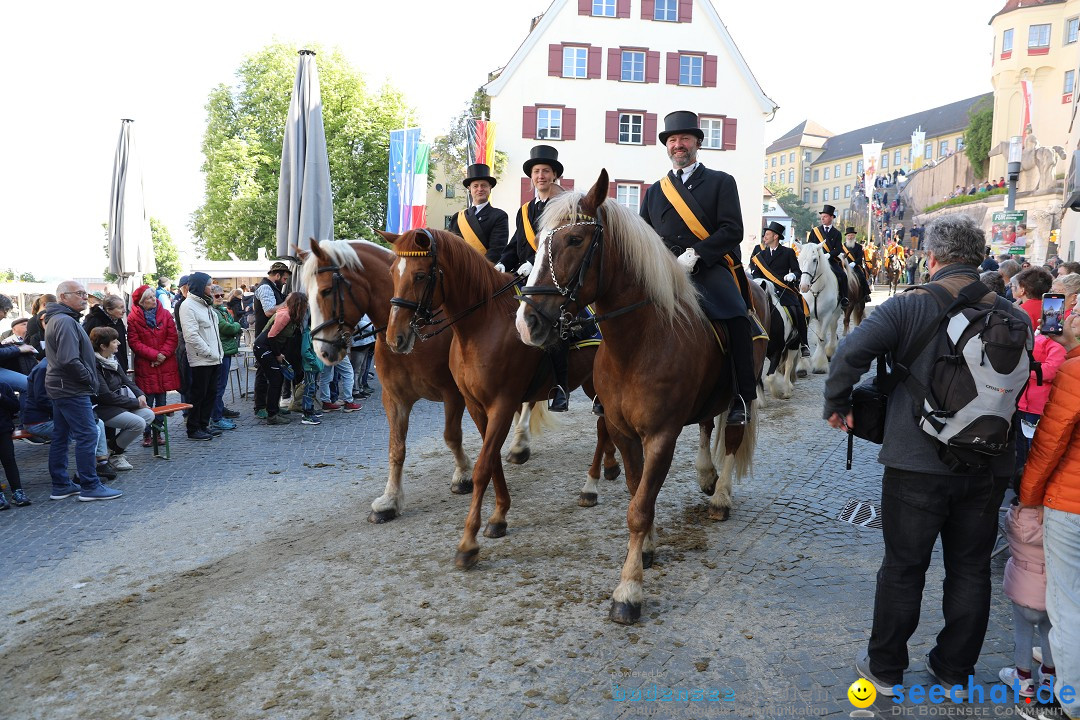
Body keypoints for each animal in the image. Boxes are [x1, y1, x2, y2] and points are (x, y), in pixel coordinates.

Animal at [384, 227, 617, 569]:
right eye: (391, 273)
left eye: (420, 275)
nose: (394, 338)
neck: (480, 328)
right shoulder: (475, 406)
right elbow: (491, 461)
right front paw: (499, 516)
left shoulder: (503, 405)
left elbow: (483, 466)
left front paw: (468, 543)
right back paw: (612, 466)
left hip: (594, 383)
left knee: (603, 428)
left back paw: (591, 486)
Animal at [514, 170, 768, 626]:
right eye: (539, 241)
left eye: (575, 240)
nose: (528, 323)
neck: (637, 342)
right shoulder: (623, 430)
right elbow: (638, 492)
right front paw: (646, 548)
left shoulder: (662, 435)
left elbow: (640, 507)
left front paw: (629, 589)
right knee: (708, 425)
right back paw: (706, 473)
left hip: (743, 390)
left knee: (733, 436)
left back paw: (721, 495)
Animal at [799, 245, 864, 375]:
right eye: (799, 259)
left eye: (815, 260)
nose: (804, 287)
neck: (816, 290)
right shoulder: (806, 315)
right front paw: (802, 367)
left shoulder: (827, 315)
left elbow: (822, 339)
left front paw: (820, 365)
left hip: (837, 312)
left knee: (833, 329)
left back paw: (829, 351)